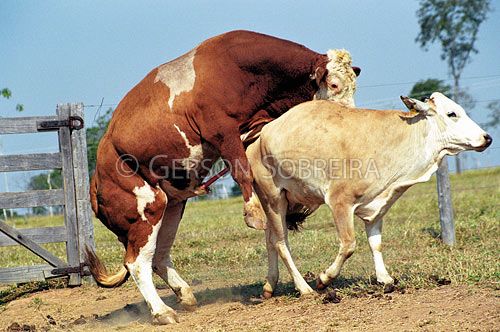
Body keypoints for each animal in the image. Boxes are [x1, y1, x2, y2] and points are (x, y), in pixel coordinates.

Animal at [86, 29, 360, 324]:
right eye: (334, 84)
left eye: (353, 86)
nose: (347, 116)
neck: (239, 70)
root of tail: (96, 181)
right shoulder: (222, 132)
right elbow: (242, 170)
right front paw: (253, 213)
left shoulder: (252, 128)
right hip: (148, 210)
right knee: (137, 262)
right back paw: (162, 311)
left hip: (172, 206)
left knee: (158, 257)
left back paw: (185, 295)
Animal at [246, 93, 492, 298]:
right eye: (452, 113)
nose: (487, 137)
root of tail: (258, 140)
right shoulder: (340, 202)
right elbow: (349, 245)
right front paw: (324, 279)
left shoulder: (377, 208)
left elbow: (376, 244)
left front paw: (385, 278)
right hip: (273, 198)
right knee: (281, 243)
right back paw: (304, 288)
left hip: (286, 201)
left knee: (270, 240)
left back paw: (269, 286)